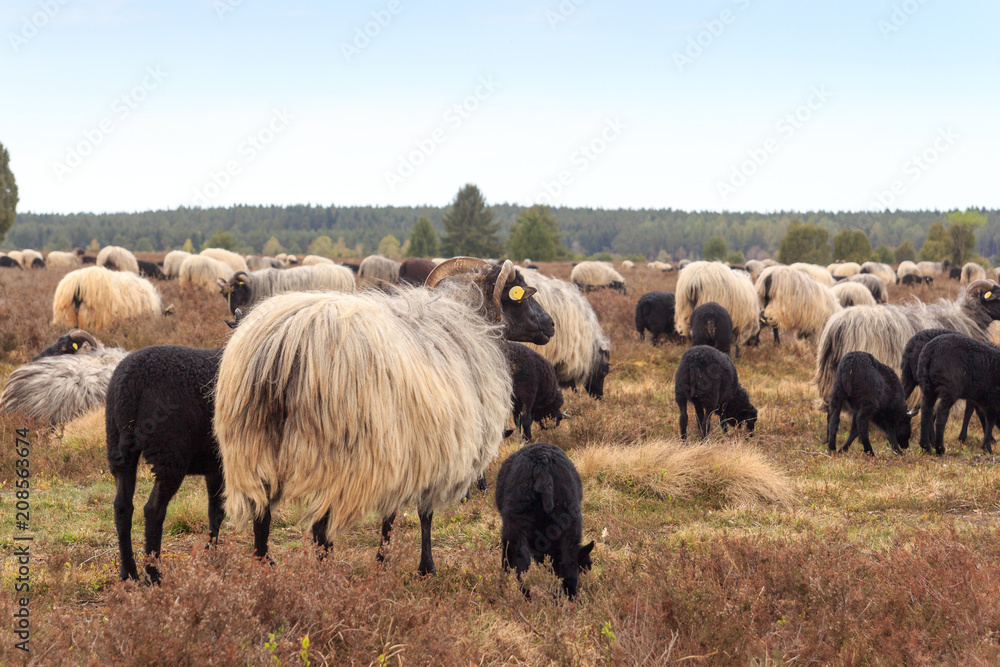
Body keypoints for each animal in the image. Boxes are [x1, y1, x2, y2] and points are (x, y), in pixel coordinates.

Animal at [109, 348, 227, 580]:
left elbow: (215, 511)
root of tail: (130, 382)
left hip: (119, 447)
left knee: (122, 507)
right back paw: (153, 574)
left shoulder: (215, 466)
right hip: (169, 453)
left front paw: (211, 557)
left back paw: (129, 574)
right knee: (153, 510)